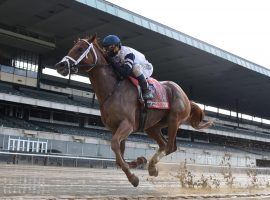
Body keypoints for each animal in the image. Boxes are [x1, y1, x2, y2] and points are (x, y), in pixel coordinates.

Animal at [53, 34, 212, 188]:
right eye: (72, 48)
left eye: (80, 49)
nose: (60, 65)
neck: (113, 89)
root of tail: (186, 97)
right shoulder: (115, 127)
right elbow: (119, 155)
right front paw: (138, 161)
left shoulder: (127, 124)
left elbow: (114, 145)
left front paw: (133, 178)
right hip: (153, 126)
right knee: (163, 145)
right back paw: (151, 167)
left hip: (174, 119)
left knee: (170, 146)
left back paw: (152, 166)